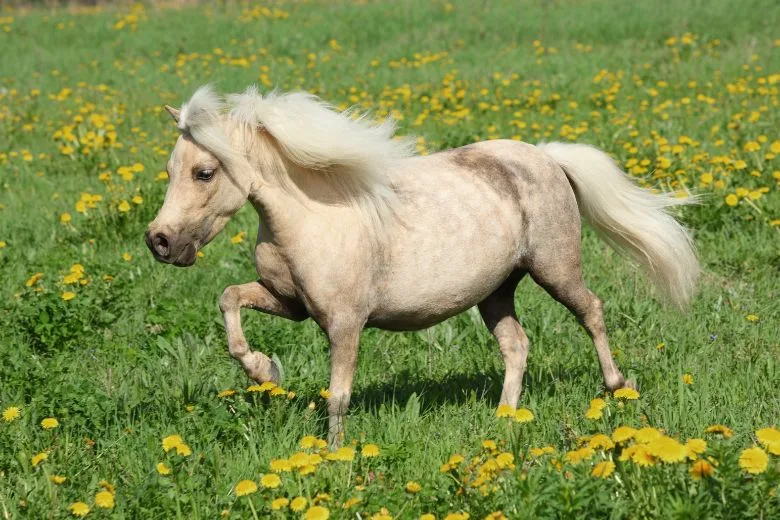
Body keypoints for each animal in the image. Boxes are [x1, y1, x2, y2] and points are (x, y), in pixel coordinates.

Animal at [145, 85, 698, 447]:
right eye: (170, 170)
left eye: (204, 172)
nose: (160, 242)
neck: (313, 215)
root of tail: (545, 157)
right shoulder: (289, 303)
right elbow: (230, 299)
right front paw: (265, 371)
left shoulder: (345, 323)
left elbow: (338, 395)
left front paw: (333, 455)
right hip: (496, 291)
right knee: (516, 345)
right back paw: (503, 417)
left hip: (555, 268)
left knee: (592, 312)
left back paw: (617, 388)